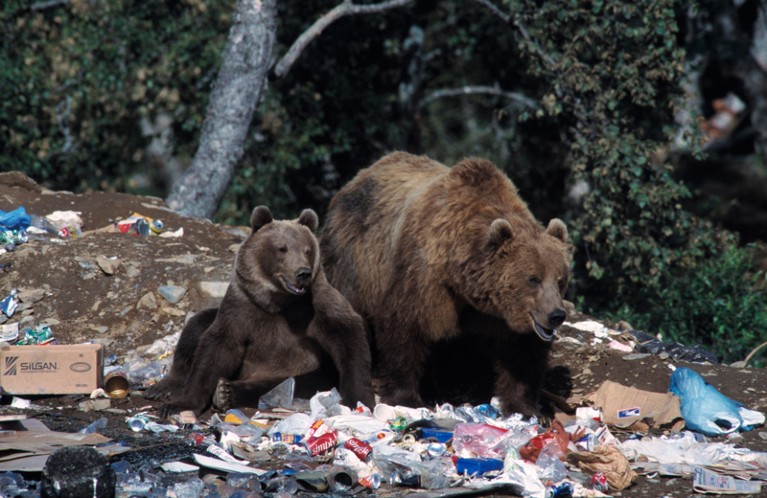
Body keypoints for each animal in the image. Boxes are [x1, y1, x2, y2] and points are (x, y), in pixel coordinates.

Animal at [146, 206, 376, 416]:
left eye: (307, 250)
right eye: (282, 248)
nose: (303, 272)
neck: (279, 301)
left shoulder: (317, 306)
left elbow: (348, 337)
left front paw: (359, 400)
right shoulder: (242, 305)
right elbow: (216, 347)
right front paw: (180, 404)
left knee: (289, 384)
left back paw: (226, 391)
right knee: (195, 328)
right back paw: (164, 387)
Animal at [320, 152, 572, 416]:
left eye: (560, 279)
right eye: (533, 278)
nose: (556, 314)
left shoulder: (501, 317)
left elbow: (522, 353)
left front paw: (524, 407)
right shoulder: (423, 279)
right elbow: (404, 329)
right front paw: (407, 398)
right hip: (353, 263)